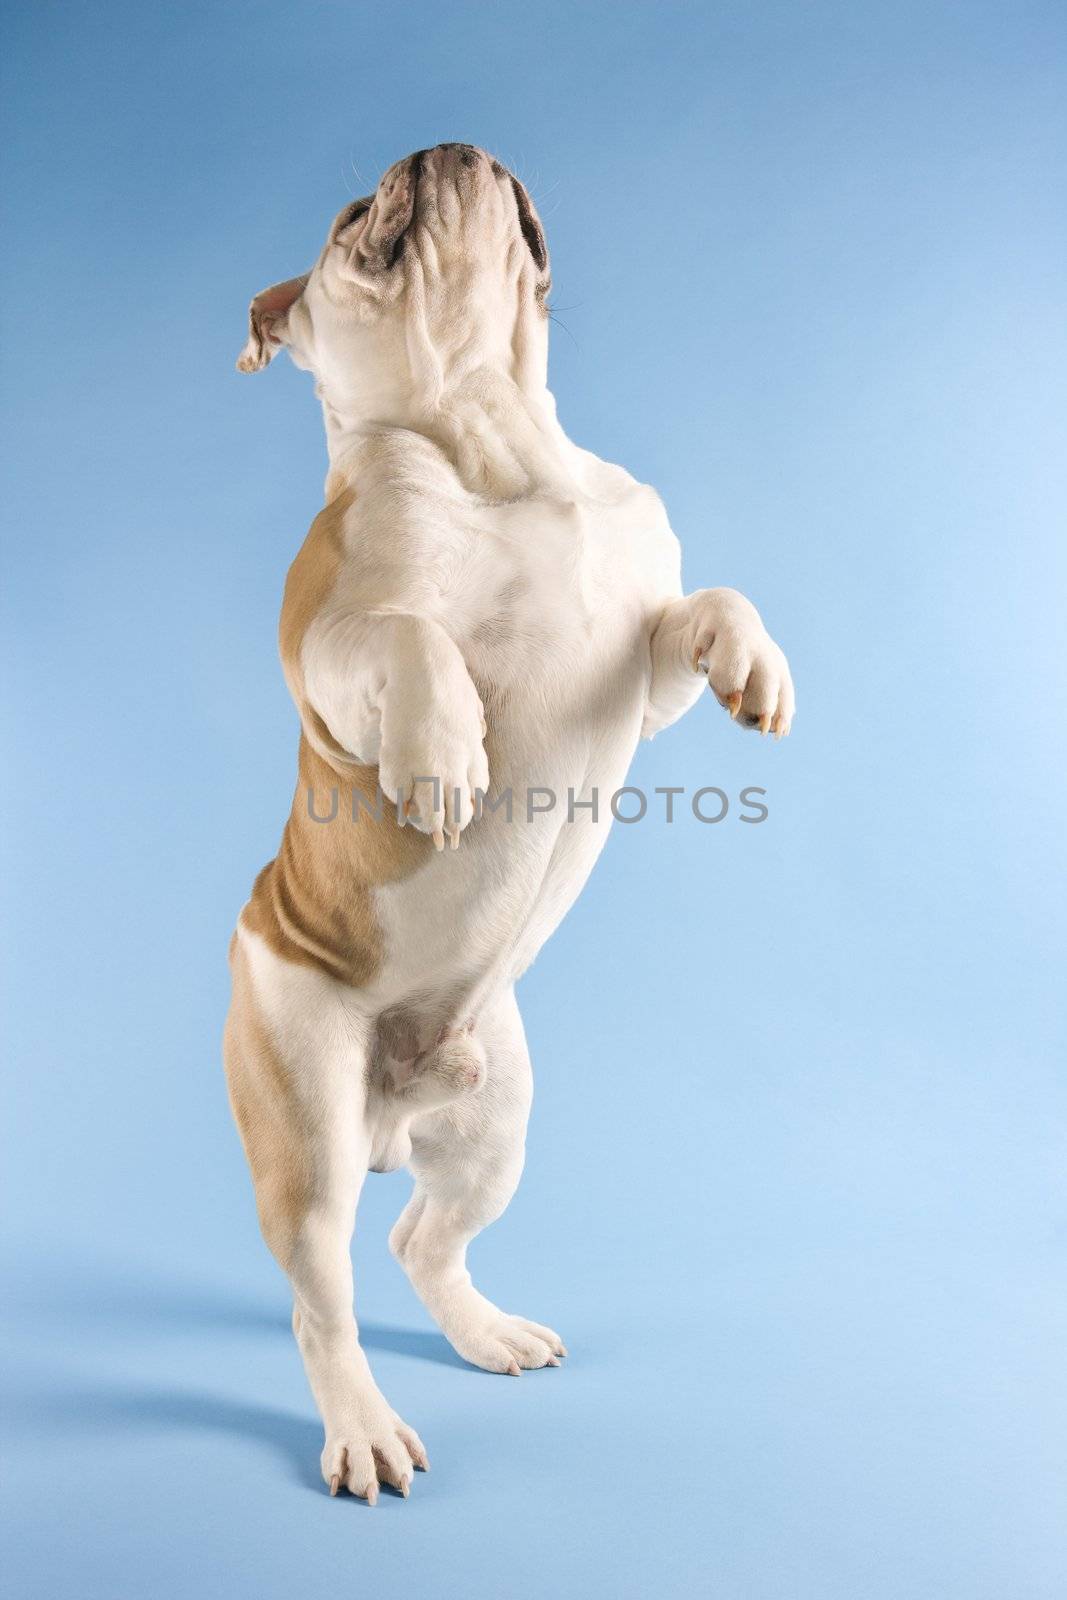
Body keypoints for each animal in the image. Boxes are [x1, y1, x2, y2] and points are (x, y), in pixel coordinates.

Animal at [225, 140, 793, 1497]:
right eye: (352, 215)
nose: (446, 148)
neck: (495, 431)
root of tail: (390, 1118)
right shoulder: (327, 645)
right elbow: (407, 635)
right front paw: (443, 758)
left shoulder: (638, 669)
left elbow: (701, 603)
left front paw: (754, 663)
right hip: (305, 1117)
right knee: (322, 1293)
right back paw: (363, 1430)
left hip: (497, 1123)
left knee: (422, 1238)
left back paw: (487, 1333)